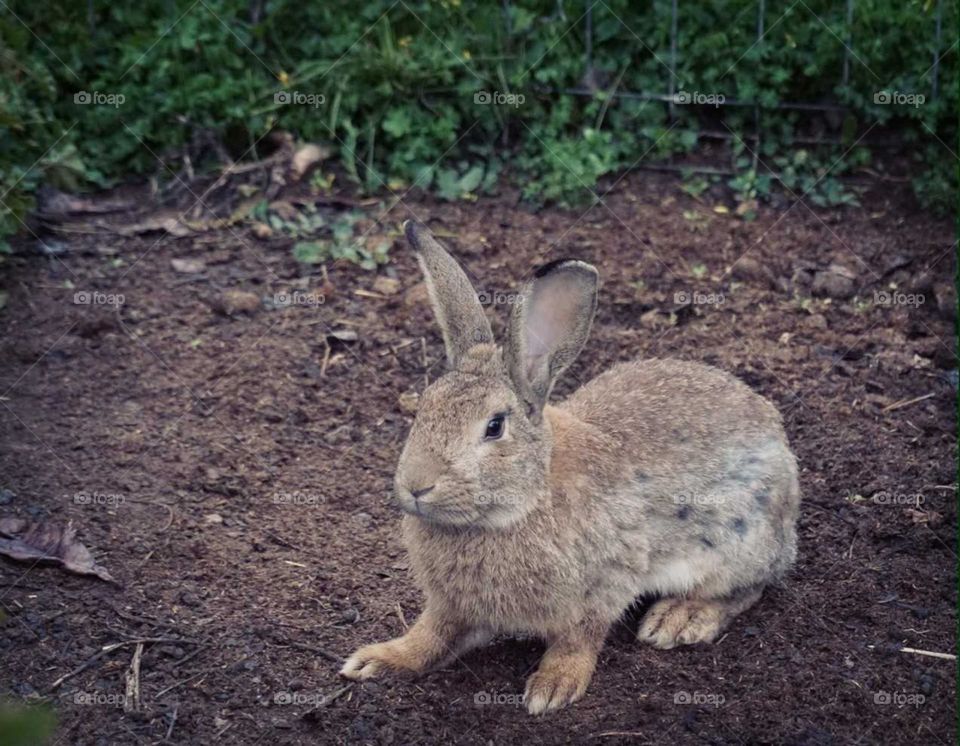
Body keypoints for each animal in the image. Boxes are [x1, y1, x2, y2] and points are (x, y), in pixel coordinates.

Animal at [342, 218, 800, 712]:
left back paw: (679, 618)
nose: (416, 486)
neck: (523, 501)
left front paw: (552, 687)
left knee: (748, 587)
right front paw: (377, 660)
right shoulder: (452, 606)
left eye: (494, 427)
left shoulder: (604, 584)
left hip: (738, 542)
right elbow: (431, 634)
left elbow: (579, 639)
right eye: (424, 407)